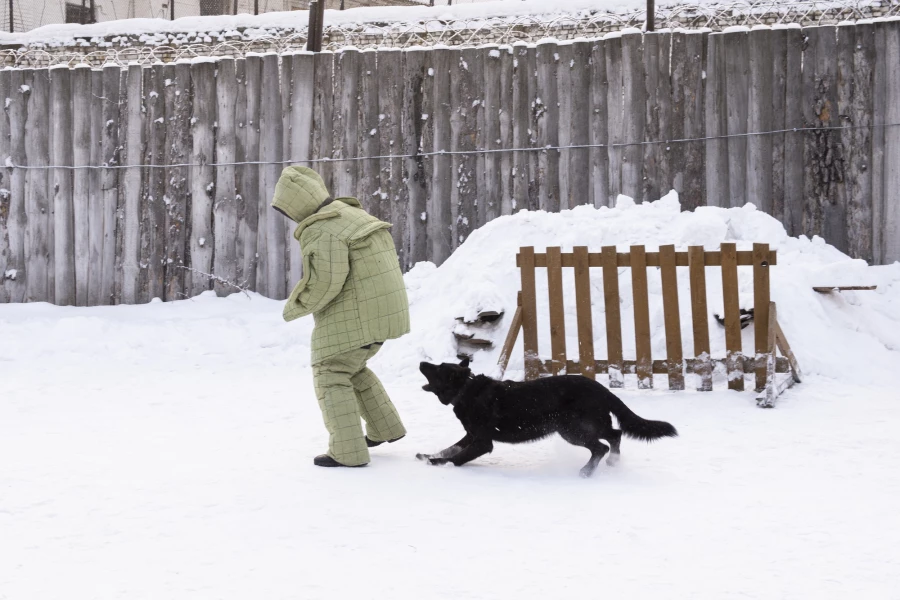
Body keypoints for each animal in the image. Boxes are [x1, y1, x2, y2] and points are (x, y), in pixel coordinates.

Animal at [418, 358, 680, 476]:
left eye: (438, 369)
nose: (421, 362)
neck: (466, 390)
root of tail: (601, 389)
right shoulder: (471, 435)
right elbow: (451, 447)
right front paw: (428, 455)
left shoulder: (482, 442)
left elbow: (457, 457)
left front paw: (439, 463)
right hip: (590, 424)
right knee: (615, 435)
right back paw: (613, 462)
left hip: (571, 429)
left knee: (601, 446)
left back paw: (586, 472)